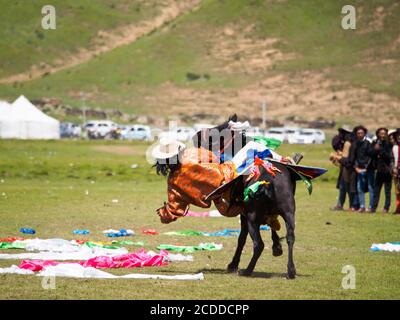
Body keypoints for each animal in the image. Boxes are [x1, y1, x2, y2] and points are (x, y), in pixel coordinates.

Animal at [192, 114, 298, 278]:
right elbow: (272, 225)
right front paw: (277, 247)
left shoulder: (244, 215)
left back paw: (247, 270)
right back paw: (291, 270)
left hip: (252, 217)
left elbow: (241, 238)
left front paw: (233, 264)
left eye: (214, 134)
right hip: (289, 212)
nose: (195, 136)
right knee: (290, 237)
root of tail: (270, 179)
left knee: (259, 244)